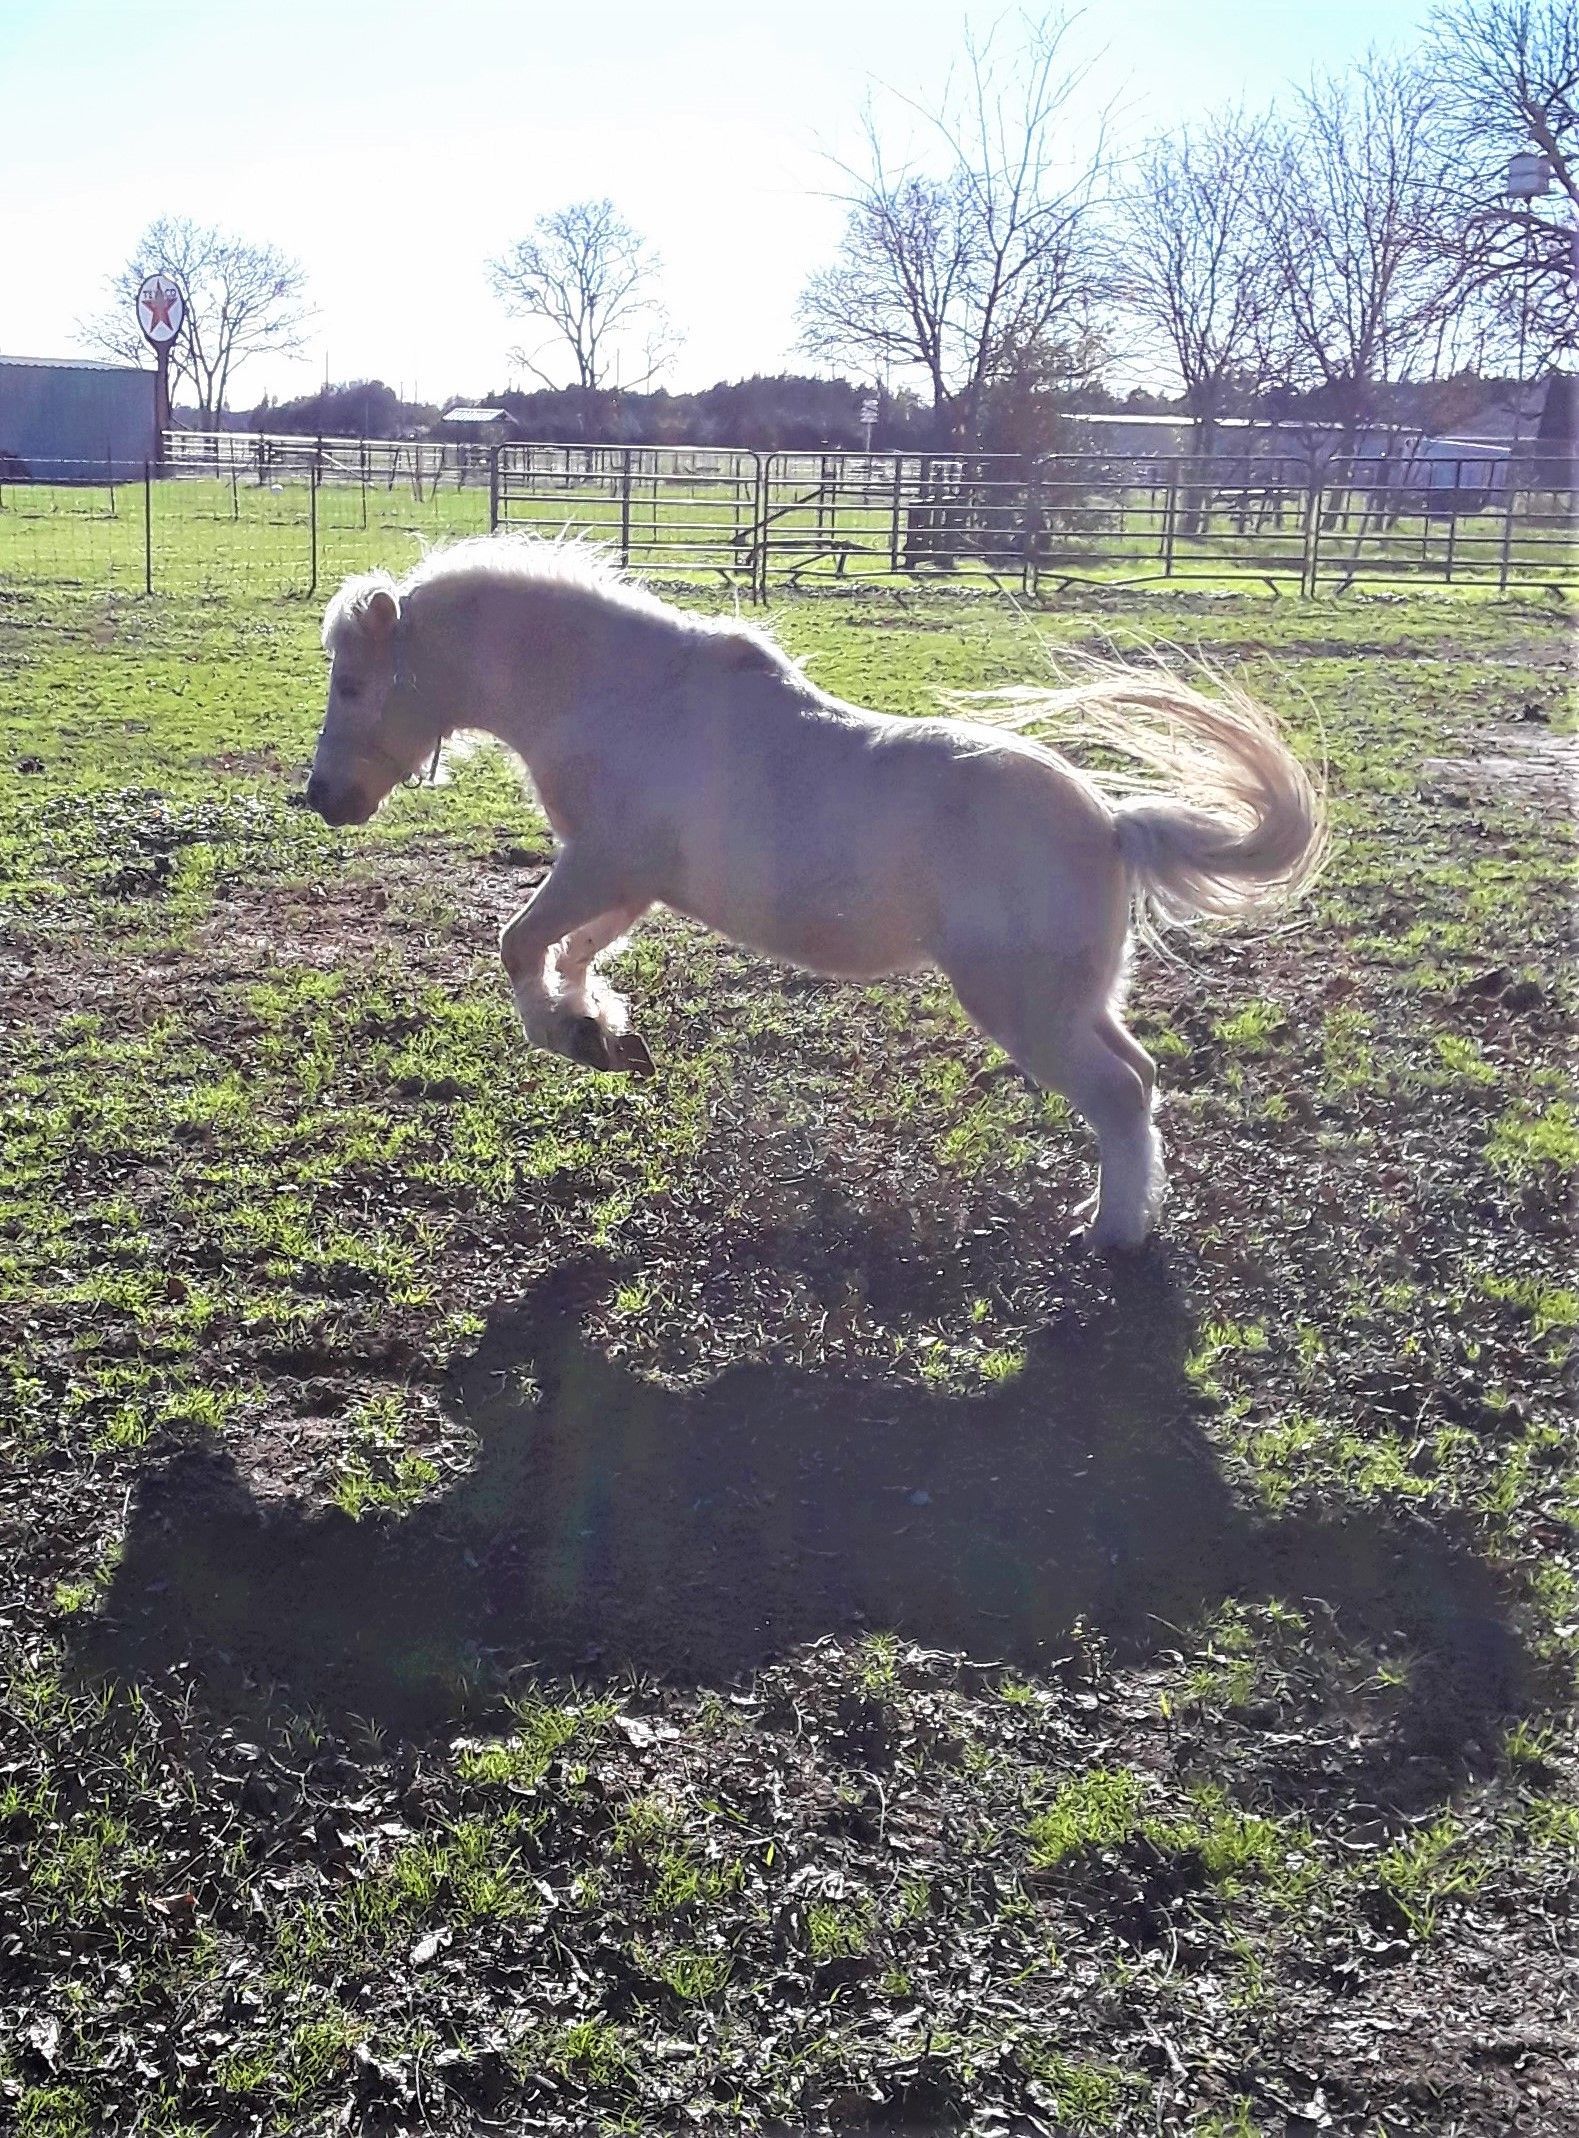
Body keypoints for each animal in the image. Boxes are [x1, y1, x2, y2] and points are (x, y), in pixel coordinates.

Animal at [306, 538, 1326, 1249]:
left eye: (353, 683)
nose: (322, 798)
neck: (622, 698)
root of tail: (1113, 824)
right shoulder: (627, 880)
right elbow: (576, 953)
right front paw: (601, 1031)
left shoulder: (601, 864)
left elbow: (521, 944)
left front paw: (572, 1036)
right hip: (1081, 1002)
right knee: (1142, 1082)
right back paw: (1112, 1212)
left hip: (1026, 1008)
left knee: (1115, 1095)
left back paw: (1108, 1238)